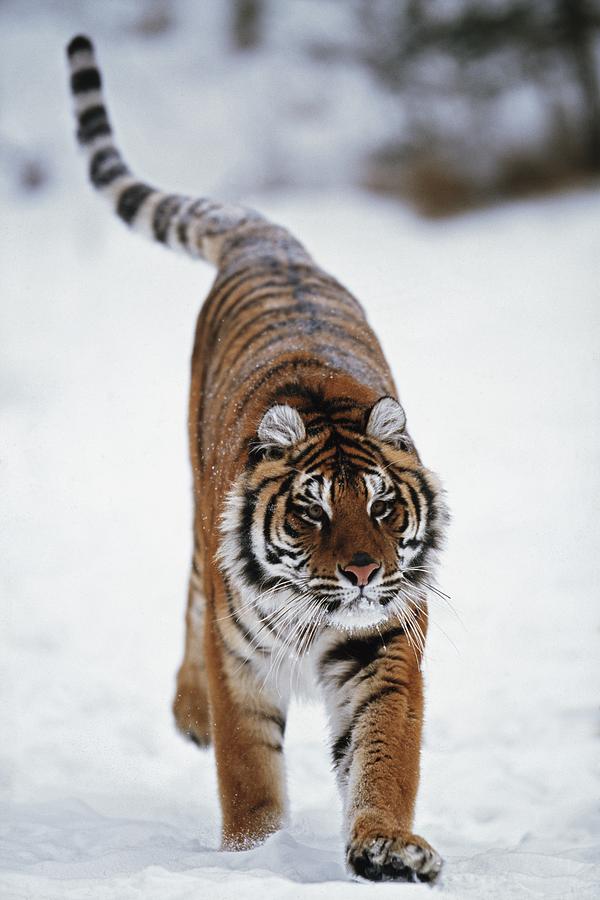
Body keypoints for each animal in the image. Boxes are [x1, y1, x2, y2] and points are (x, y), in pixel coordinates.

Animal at [67, 37, 450, 884]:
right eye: (311, 512)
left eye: (383, 507)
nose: (364, 573)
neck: (318, 611)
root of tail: (271, 241)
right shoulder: (238, 658)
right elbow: (247, 768)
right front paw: (253, 857)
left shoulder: (385, 644)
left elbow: (385, 755)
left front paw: (386, 846)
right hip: (194, 512)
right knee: (187, 598)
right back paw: (189, 714)